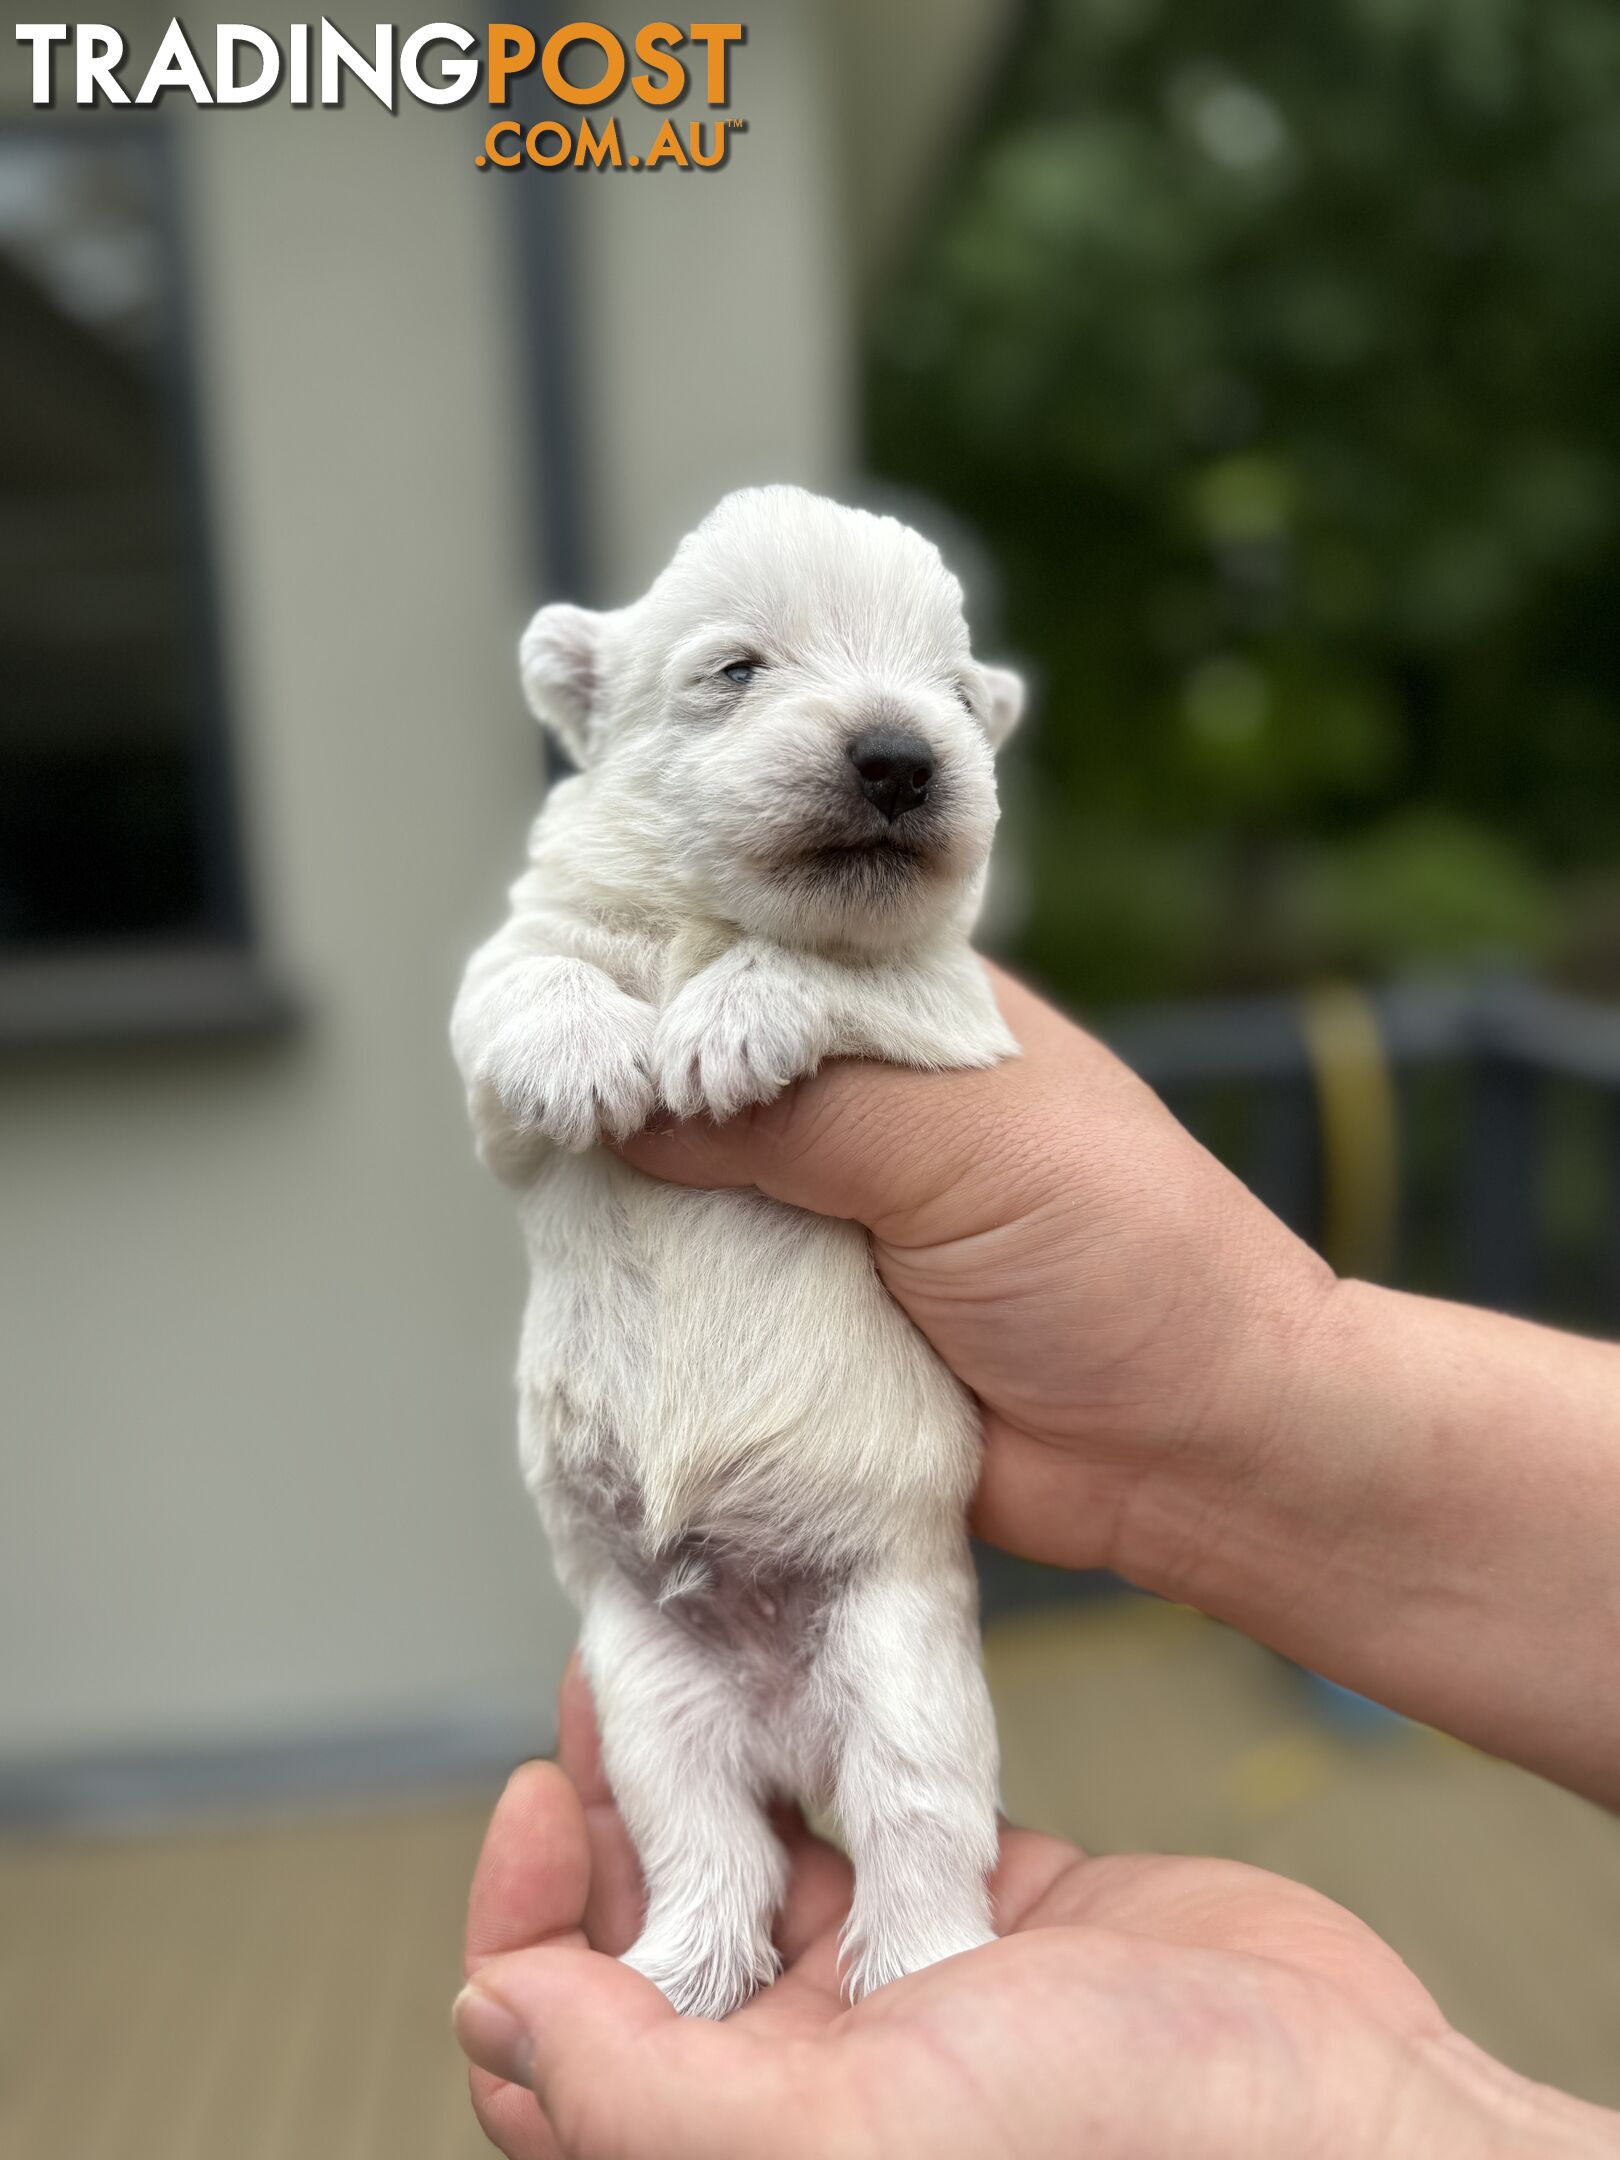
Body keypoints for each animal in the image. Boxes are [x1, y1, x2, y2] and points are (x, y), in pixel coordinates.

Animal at [451, 481, 1019, 2013]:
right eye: (737, 668)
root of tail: (787, 1725)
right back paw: (681, 1967)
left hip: (902, 1659)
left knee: (915, 1821)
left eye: (955, 694)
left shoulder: (962, 1019)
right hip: (651, 1685)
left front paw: (723, 1024)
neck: (699, 918)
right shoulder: (507, 1012)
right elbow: (523, 982)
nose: (900, 757)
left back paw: (920, 1970)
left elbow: (850, 968)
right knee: (708, 1836)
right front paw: (594, 1053)